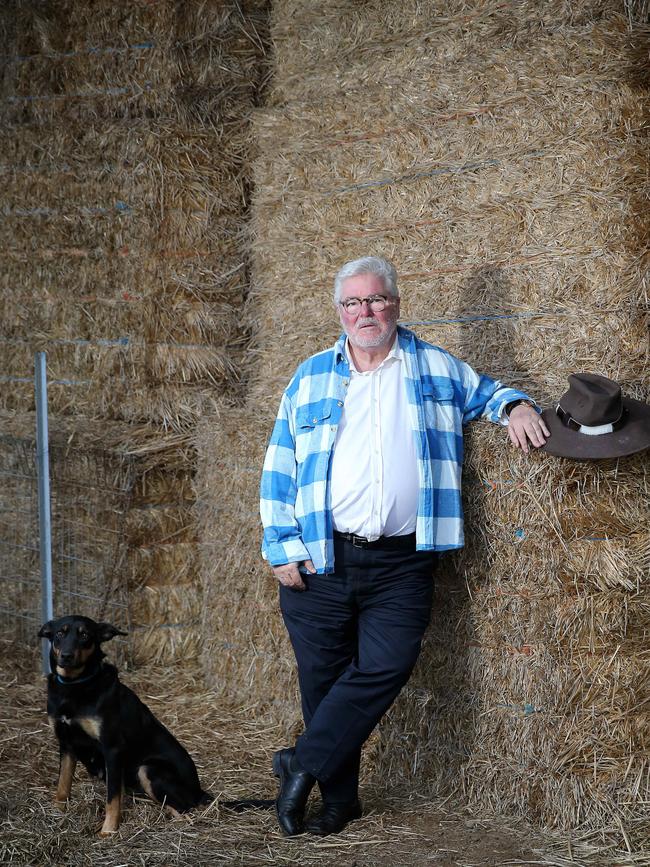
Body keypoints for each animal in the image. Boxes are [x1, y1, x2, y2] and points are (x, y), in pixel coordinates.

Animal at [38, 612, 211, 836]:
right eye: (60, 633)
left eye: (85, 635)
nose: (66, 656)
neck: (74, 685)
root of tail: (199, 791)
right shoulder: (66, 743)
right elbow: (63, 783)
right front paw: (57, 810)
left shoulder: (112, 748)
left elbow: (112, 797)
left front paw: (108, 831)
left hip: (148, 769)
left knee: (182, 812)